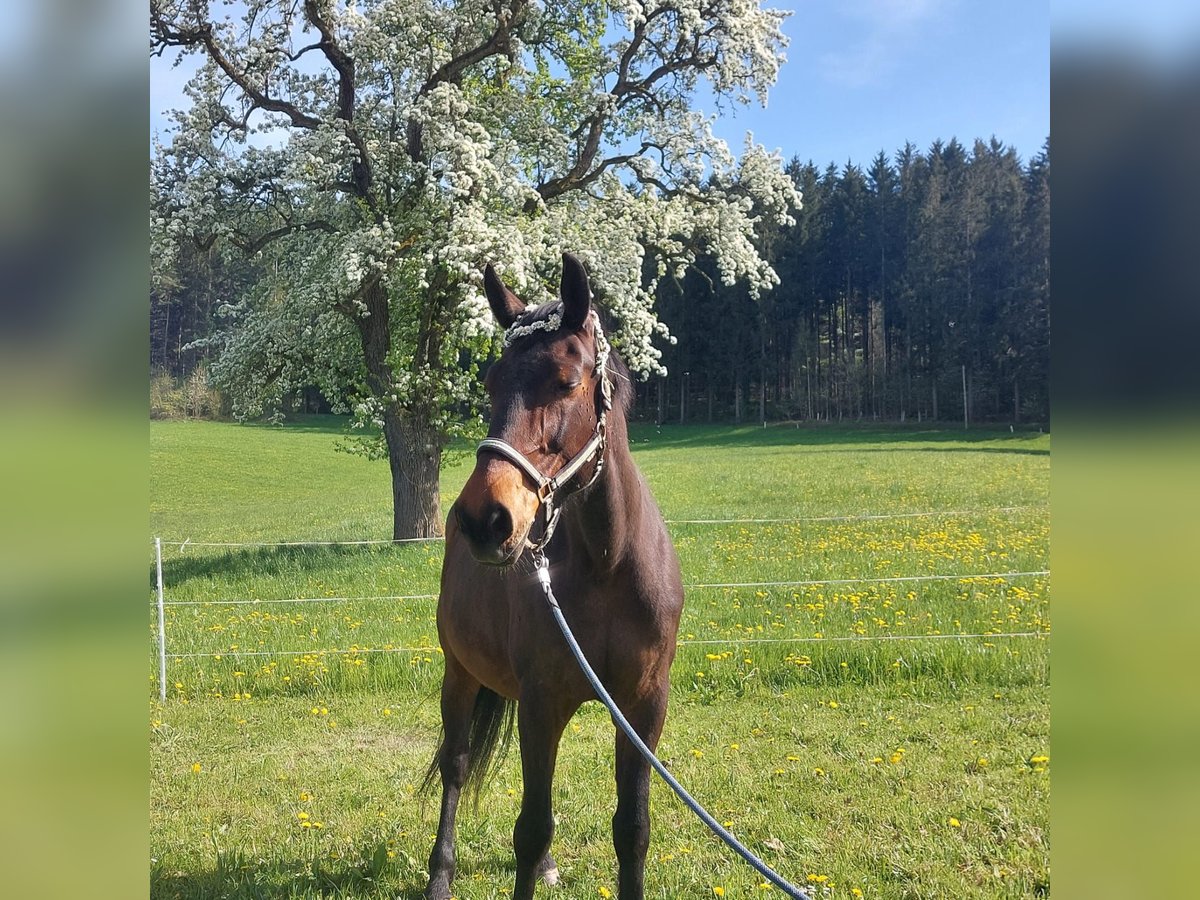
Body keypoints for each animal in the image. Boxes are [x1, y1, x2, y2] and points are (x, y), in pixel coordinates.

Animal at [422, 254, 686, 900]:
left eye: (567, 382)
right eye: (491, 383)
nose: (485, 518)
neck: (607, 566)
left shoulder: (643, 707)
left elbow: (633, 827)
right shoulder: (542, 701)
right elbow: (531, 825)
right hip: (460, 672)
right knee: (456, 763)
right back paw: (441, 876)